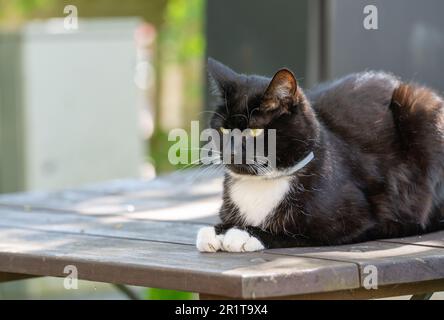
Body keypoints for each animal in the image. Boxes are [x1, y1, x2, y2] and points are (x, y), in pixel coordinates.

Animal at [198, 57, 444, 252]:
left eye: (255, 131)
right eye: (223, 129)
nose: (230, 152)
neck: (262, 183)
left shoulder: (353, 219)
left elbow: (296, 233)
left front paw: (244, 234)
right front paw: (216, 231)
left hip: (419, 109)